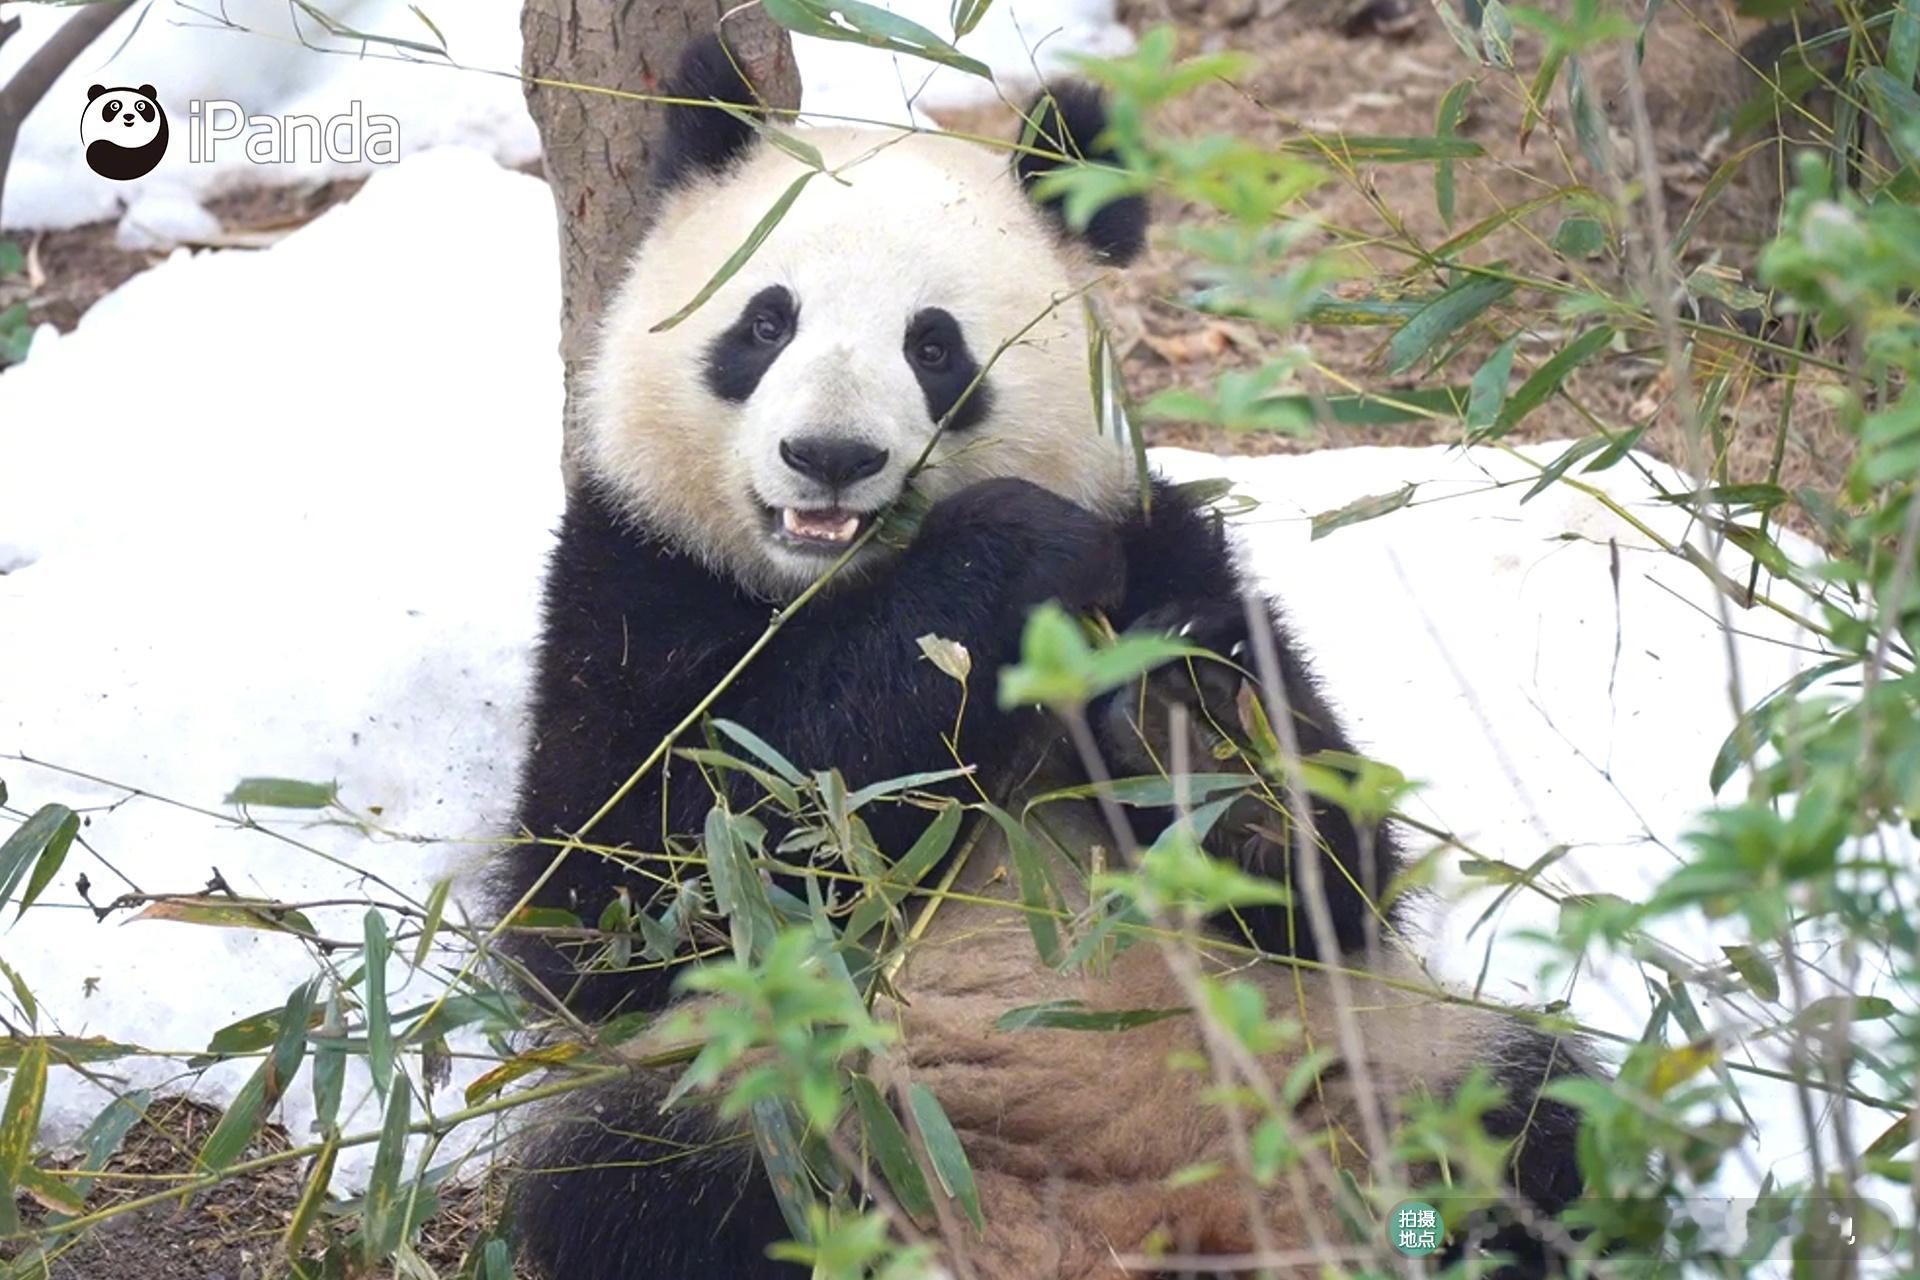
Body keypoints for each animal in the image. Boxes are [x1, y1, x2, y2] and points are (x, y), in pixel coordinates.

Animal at [497, 35, 1595, 1280]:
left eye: (935, 345)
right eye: (765, 323)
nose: (831, 455)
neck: (835, 586)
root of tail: (1126, 1223)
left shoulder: (1168, 540)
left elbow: (1342, 878)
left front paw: (1192, 731)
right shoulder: (630, 573)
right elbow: (628, 882)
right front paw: (1008, 555)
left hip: (1378, 1071)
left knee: (1533, 1121)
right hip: (786, 1094)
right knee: (661, 1179)